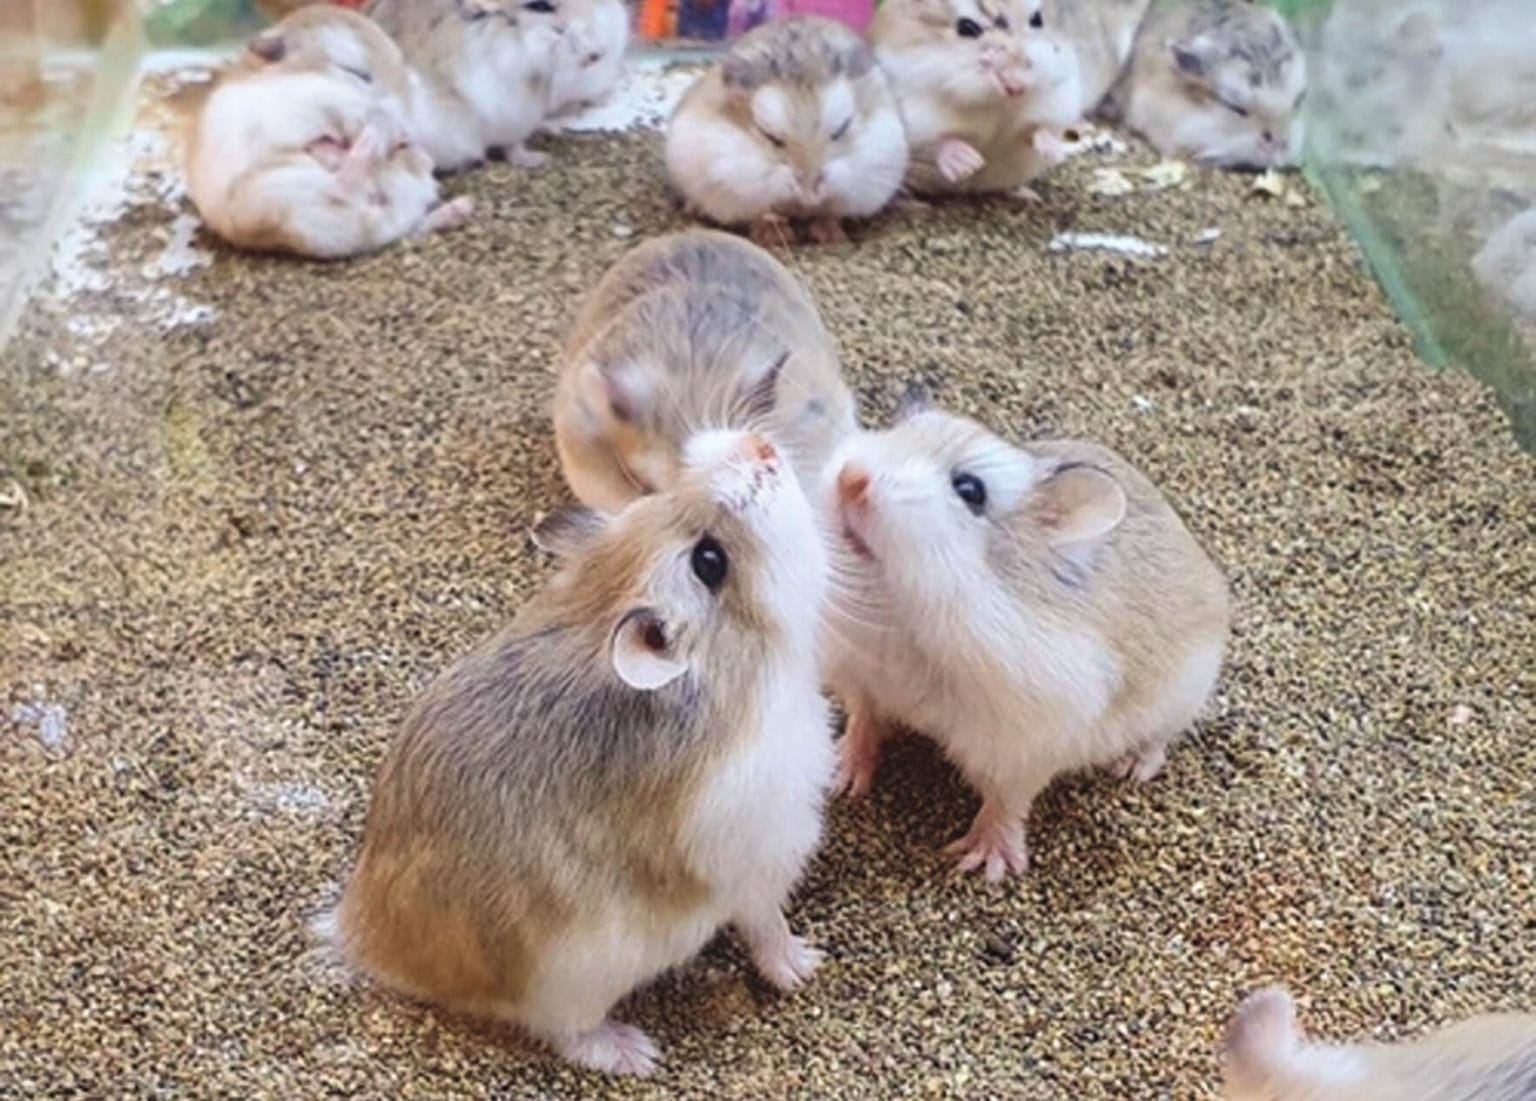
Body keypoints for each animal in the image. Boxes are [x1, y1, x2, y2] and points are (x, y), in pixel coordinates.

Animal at [185, 9, 472, 260]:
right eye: (355, 71)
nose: (404, 132)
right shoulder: (291, 118)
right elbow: (330, 134)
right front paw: (374, 137)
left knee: (402, 223)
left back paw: (457, 207)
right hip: (278, 196)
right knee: (345, 184)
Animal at [323, 429, 834, 1075]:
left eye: (653, 495)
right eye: (709, 562)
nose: (761, 444)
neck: (747, 653)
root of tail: (361, 937)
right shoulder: (762, 857)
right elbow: (767, 925)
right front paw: (806, 965)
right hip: (575, 981)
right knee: (564, 1033)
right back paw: (634, 1052)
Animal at [665, 16, 909, 245]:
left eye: (842, 128)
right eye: (769, 135)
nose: (809, 193)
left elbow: (830, 212)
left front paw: (831, 235)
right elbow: (761, 213)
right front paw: (774, 237)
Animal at [823, 394, 1230, 880]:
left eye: (970, 490)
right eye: (890, 433)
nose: (849, 477)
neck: (903, 612)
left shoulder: (1024, 747)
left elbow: (1006, 802)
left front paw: (985, 866)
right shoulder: (861, 679)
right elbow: (863, 722)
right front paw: (840, 777)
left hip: (1182, 696)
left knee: (1159, 741)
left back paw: (1130, 766)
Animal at [869, 0, 1084, 197]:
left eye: (1037, 19)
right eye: (967, 27)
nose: (1016, 86)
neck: (998, 105)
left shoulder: (1059, 101)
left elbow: (1038, 129)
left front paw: (1054, 153)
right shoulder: (916, 120)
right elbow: (937, 142)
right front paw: (971, 164)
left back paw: (1027, 195)